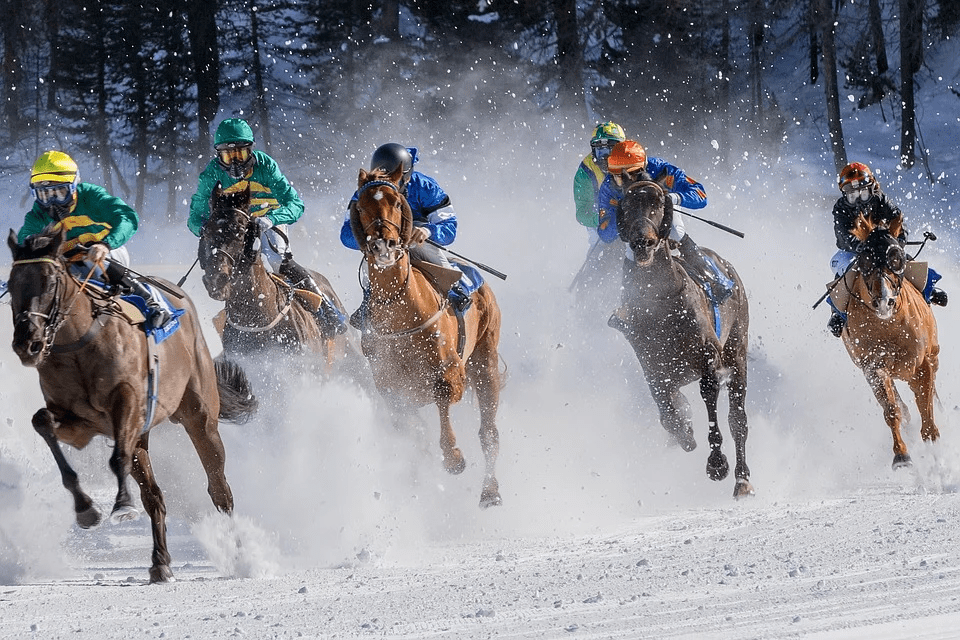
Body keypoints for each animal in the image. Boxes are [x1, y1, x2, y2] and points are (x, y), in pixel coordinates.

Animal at [7, 226, 258, 583]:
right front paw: (86, 510)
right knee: (154, 495)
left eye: (50, 280)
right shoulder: (78, 422)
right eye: (12, 282)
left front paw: (122, 506)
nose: (27, 342)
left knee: (219, 488)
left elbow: (118, 458)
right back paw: (160, 562)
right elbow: (42, 422)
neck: (80, 343)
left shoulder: (126, 404)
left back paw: (240, 554)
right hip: (144, 434)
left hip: (200, 415)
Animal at [348, 167, 504, 508]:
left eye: (396, 202)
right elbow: (410, 430)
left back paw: (490, 491)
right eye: (361, 205)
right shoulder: (391, 387)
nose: (383, 245)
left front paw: (454, 457)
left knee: (489, 432)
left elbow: (444, 396)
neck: (401, 311)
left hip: (485, 359)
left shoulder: (452, 371)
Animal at [614, 180, 753, 499]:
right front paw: (685, 431)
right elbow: (668, 413)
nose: (643, 242)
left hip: (737, 348)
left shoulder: (708, 357)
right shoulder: (653, 366)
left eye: (658, 203)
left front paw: (717, 464)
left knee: (738, 419)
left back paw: (742, 480)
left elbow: (710, 399)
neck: (660, 302)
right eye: (625, 205)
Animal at [830, 216, 940, 469]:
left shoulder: (922, 363)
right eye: (865, 259)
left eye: (896, 256)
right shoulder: (873, 367)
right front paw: (901, 455)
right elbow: (891, 409)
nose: (884, 301)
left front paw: (933, 444)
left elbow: (926, 405)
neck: (889, 327)